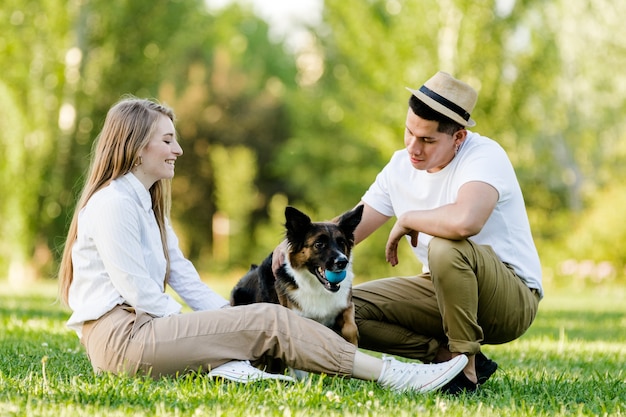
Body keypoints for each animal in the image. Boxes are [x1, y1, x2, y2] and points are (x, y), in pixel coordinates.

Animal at [232, 205, 364, 344]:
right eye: (319, 244)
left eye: (341, 243)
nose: (342, 262)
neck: (318, 288)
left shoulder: (347, 305)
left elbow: (351, 327)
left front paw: (352, 341)